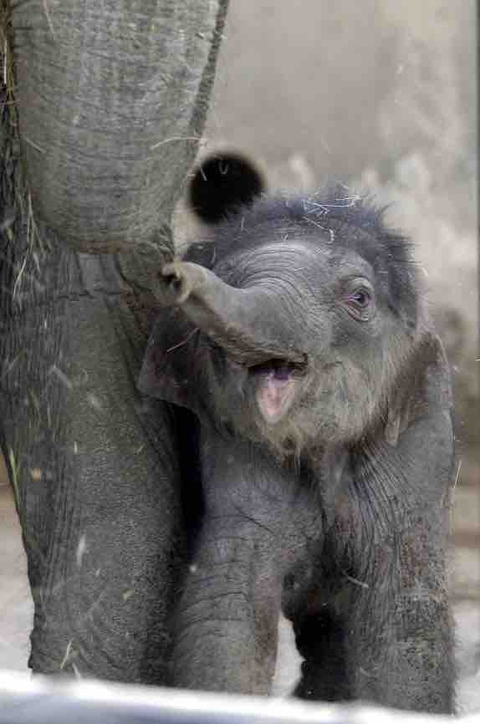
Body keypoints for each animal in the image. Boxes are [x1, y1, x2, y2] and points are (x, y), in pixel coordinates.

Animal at [140, 152, 456, 712]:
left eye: (360, 297)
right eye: (229, 276)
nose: (172, 275)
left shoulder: (417, 444)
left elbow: (405, 620)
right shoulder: (233, 444)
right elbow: (231, 606)